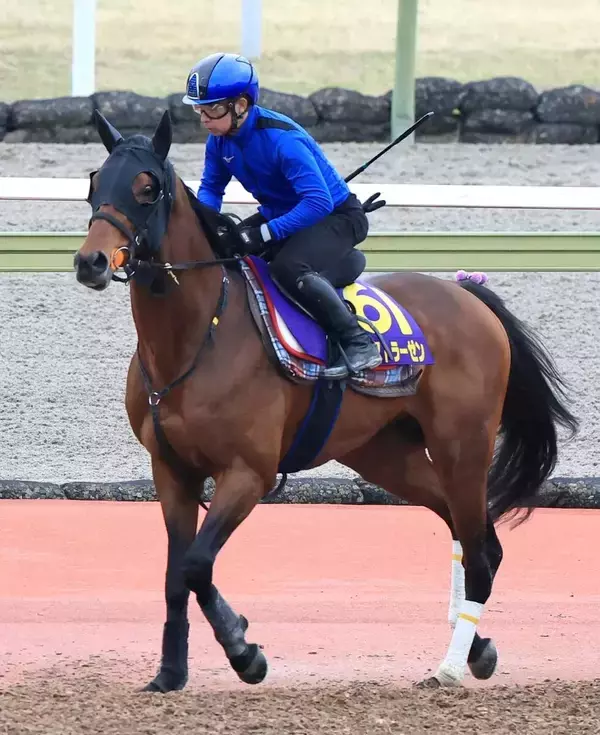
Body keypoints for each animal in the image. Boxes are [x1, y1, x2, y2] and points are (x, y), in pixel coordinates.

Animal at [73, 109, 578, 692]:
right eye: (94, 183)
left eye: (147, 187)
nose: (90, 261)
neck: (198, 336)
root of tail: (468, 294)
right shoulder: (171, 469)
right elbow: (178, 574)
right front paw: (171, 672)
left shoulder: (248, 472)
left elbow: (197, 564)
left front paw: (244, 650)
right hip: (386, 453)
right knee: (467, 531)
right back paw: (476, 648)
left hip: (464, 446)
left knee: (479, 549)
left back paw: (450, 666)